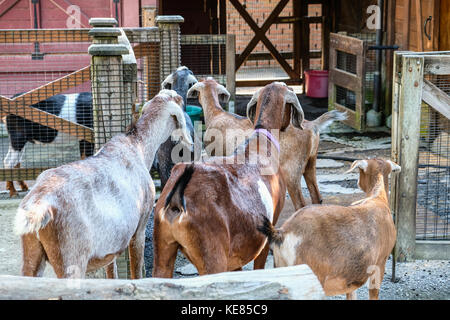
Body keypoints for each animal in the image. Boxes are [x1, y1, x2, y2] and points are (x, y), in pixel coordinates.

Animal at [13, 89, 193, 278]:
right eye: (179, 101)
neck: (138, 146)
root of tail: (37, 204)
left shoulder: (111, 245)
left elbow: (111, 272)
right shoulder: (139, 228)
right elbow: (136, 271)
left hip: (32, 254)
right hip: (70, 257)